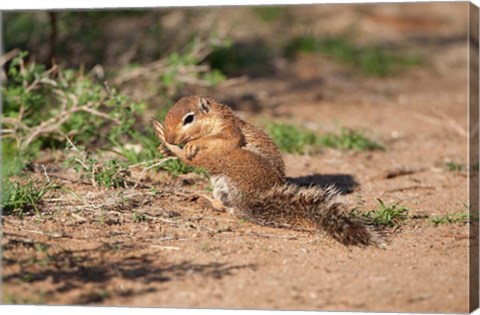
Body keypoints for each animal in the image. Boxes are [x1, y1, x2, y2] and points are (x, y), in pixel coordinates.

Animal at [152, 95, 384, 248]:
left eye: (189, 118)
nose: (172, 137)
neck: (216, 115)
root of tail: (253, 197)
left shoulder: (230, 130)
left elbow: (221, 138)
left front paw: (189, 144)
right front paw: (164, 147)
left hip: (230, 158)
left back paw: (174, 148)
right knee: (226, 207)